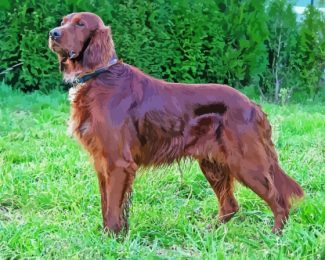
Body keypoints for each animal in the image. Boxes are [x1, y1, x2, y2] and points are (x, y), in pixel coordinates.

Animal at [48, 11, 304, 234]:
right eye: (63, 21)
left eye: (81, 24)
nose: (53, 33)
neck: (99, 76)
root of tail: (252, 105)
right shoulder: (102, 162)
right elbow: (107, 206)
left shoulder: (118, 162)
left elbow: (112, 210)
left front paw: (110, 239)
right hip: (213, 163)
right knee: (230, 205)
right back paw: (209, 230)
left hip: (245, 162)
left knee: (279, 200)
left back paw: (276, 235)